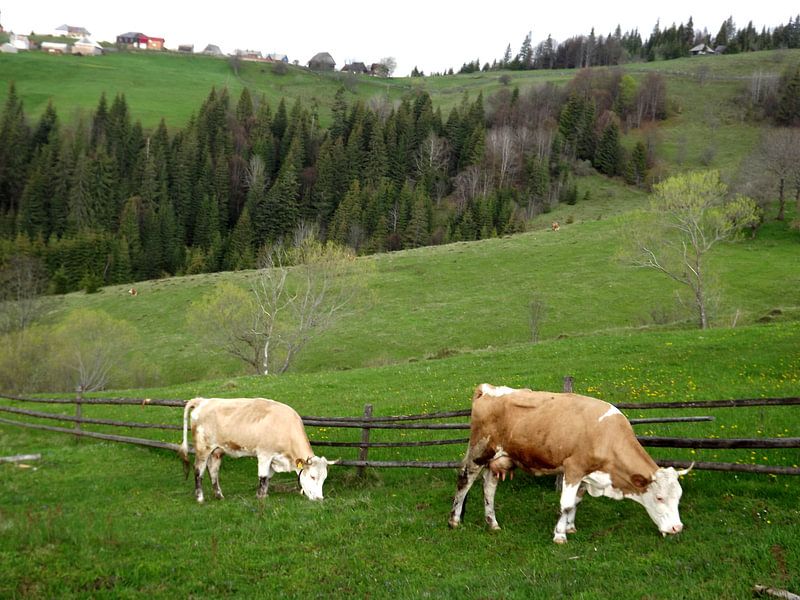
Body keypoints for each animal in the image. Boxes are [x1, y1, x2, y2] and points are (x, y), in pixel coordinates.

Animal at [178, 397, 336, 503]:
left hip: (217, 450)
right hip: (203, 448)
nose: (319, 498)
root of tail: (203, 400)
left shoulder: (274, 459)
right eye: (312, 476)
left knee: (213, 470)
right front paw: (260, 497)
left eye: (324, 478)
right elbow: (263, 476)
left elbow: (268, 478)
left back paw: (219, 495)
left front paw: (264, 494)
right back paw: (200, 497)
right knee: (198, 470)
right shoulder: (264, 454)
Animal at [448, 384, 692, 543]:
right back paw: (454, 520)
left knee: (489, 487)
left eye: (678, 497)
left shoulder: (587, 473)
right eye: (659, 497)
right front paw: (560, 535)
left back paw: (492, 523)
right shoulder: (573, 469)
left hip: (499, 458)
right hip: (479, 451)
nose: (677, 528)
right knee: (465, 480)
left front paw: (571, 527)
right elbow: (565, 503)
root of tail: (488, 389)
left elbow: (577, 501)